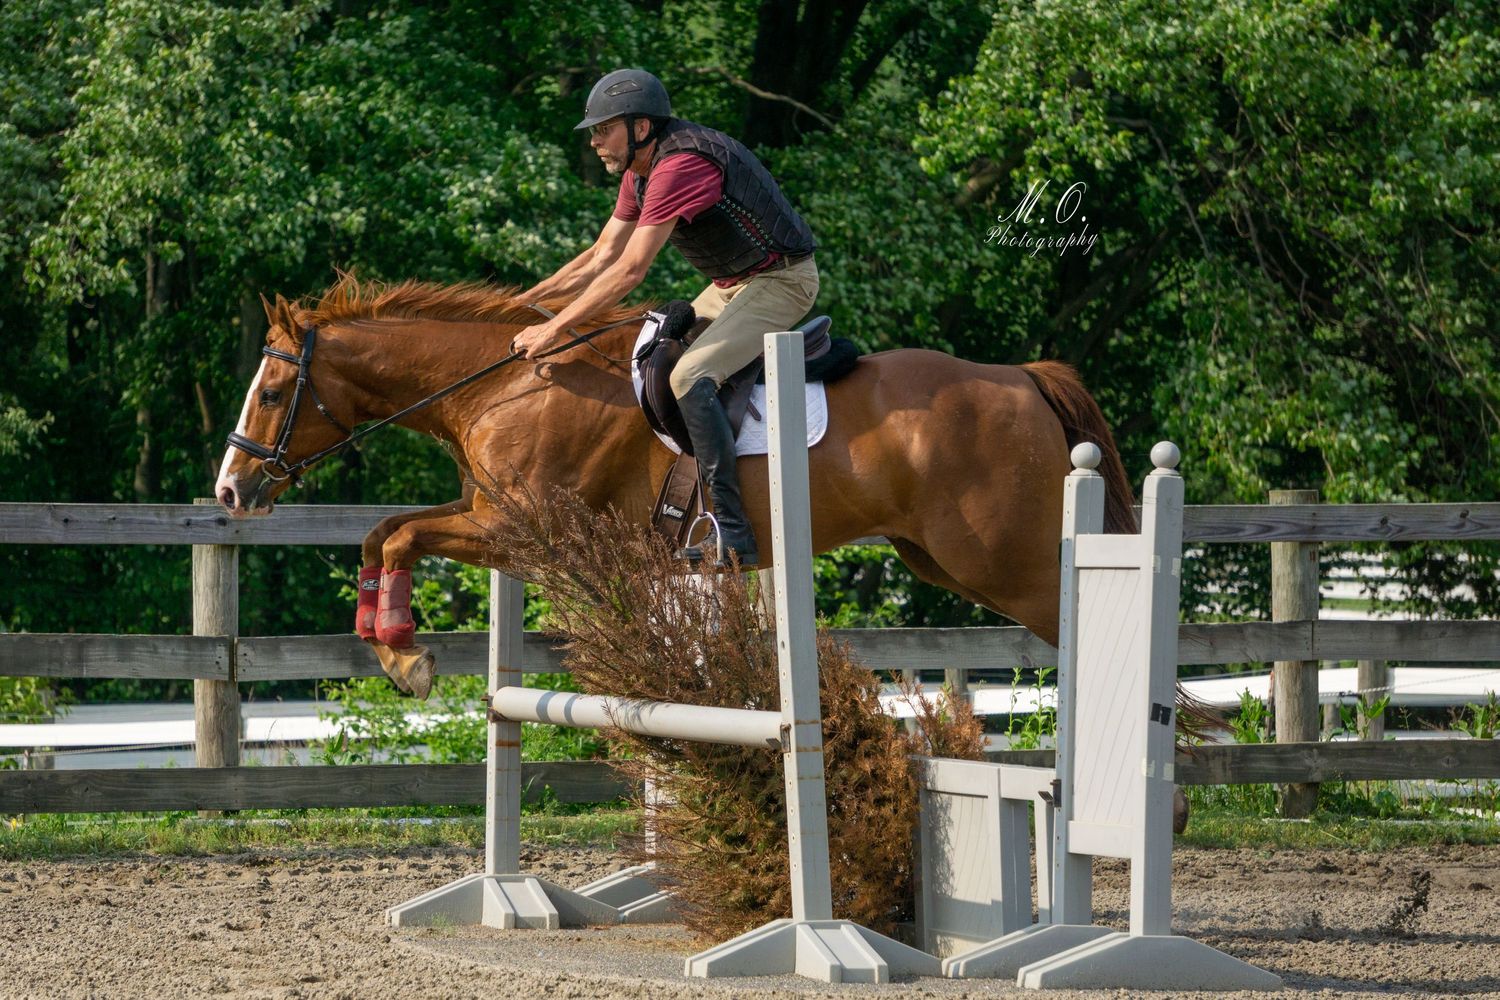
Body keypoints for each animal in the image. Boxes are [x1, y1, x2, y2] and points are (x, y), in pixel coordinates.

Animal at [215, 274, 1136, 697]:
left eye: (272, 392)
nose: (229, 491)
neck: (505, 384)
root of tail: (1022, 378)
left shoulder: (526, 532)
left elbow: (401, 533)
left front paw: (407, 658)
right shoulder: (488, 514)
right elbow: (384, 533)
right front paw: (393, 646)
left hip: (1008, 562)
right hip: (937, 558)